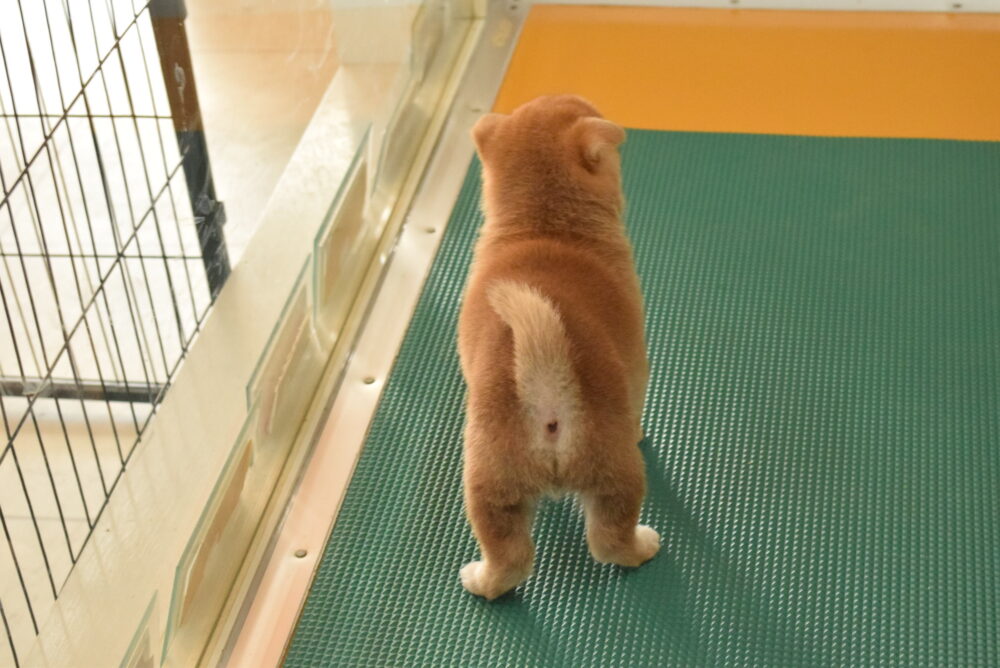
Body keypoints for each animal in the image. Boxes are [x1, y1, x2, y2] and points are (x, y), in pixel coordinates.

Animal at [457, 95, 658, 600]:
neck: (542, 225)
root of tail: (546, 388)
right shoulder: (638, 364)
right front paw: (641, 429)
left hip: (492, 488)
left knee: (510, 560)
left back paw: (480, 580)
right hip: (616, 472)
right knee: (610, 542)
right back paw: (644, 545)